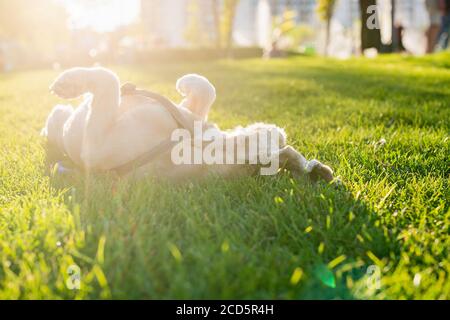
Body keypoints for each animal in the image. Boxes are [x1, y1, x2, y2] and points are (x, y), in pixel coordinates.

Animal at [41, 67, 334, 182]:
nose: (280, 132)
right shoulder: (191, 113)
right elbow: (207, 90)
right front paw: (188, 82)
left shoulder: (95, 144)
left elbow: (109, 78)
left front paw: (68, 82)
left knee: (57, 119)